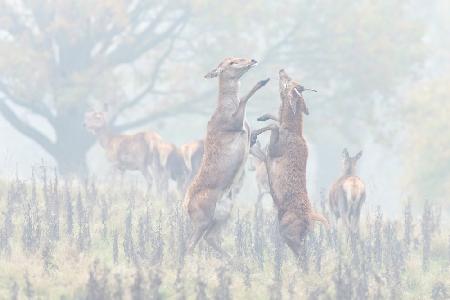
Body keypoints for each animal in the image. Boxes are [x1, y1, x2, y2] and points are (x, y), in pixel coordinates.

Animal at [185, 56, 268, 258]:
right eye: (231, 63)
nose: (252, 59)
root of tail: (186, 208)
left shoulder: (248, 137)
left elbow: (257, 137)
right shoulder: (231, 123)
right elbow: (243, 100)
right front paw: (262, 81)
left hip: (224, 213)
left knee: (210, 238)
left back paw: (233, 260)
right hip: (204, 215)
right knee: (191, 242)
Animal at [251, 69, 328, 256]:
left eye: (287, 82)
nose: (281, 70)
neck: (293, 130)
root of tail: (309, 218)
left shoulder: (274, 151)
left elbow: (275, 126)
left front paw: (254, 134)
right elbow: (276, 121)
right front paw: (261, 118)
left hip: (288, 230)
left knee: (302, 255)